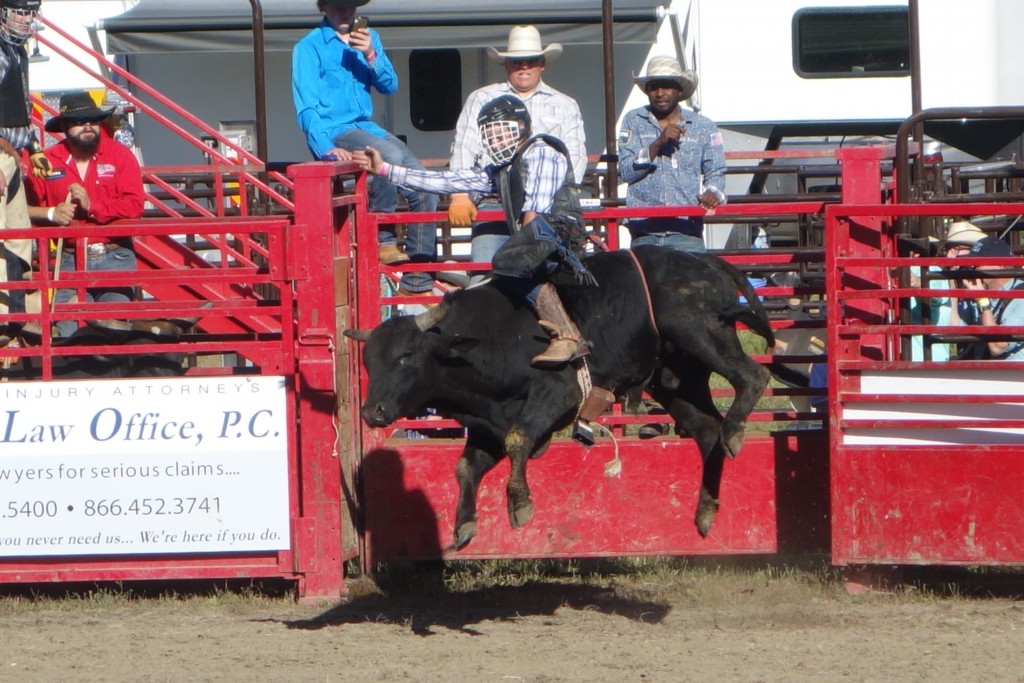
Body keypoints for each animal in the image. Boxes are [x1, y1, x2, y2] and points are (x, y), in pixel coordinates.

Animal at [348, 245, 770, 548]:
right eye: (368, 361)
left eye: (406, 357)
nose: (371, 411)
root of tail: (704, 261)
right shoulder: (487, 423)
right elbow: (467, 468)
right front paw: (465, 524)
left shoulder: (556, 394)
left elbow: (519, 439)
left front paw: (520, 505)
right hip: (677, 379)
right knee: (707, 432)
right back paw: (706, 509)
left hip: (699, 332)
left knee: (754, 376)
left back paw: (736, 430)